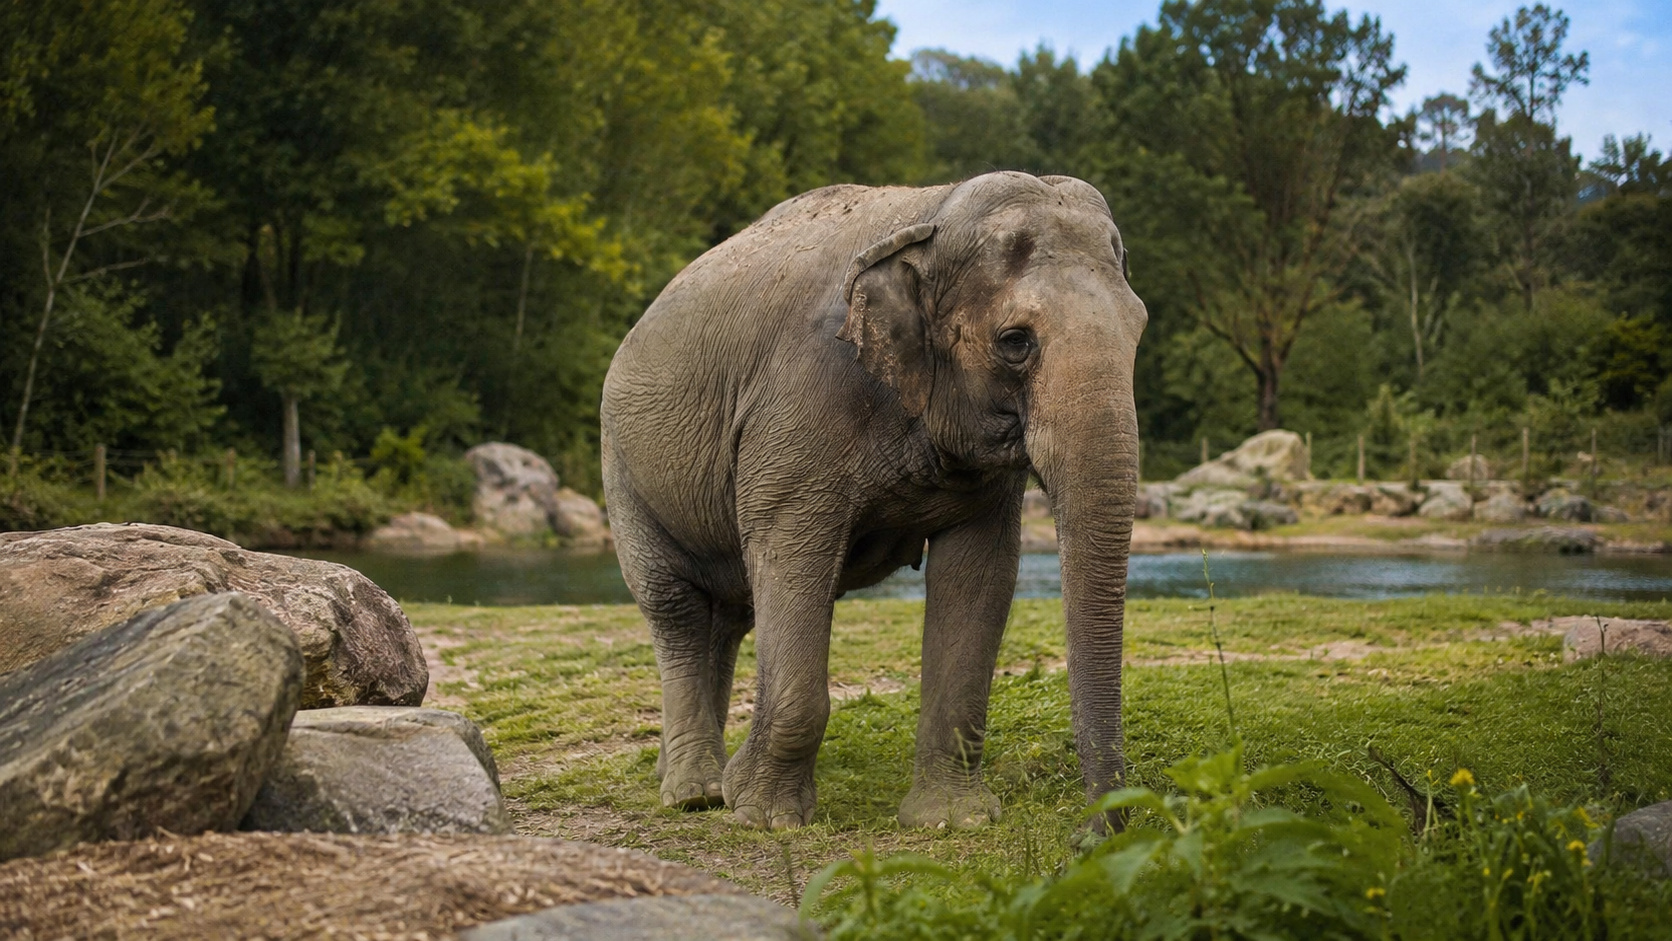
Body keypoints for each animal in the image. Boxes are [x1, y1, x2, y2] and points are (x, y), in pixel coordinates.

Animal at [600, 170, 1145, 830]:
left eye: (1139, 329)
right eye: (1015, 341)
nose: (1088, 833)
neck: (932, 213)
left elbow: (979, 573)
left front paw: (951, 820)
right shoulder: (797, 410)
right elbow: (791, 555)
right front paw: (764, 817)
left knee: (727, 616)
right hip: (622, 469)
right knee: (674, 606)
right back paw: (696, 792)